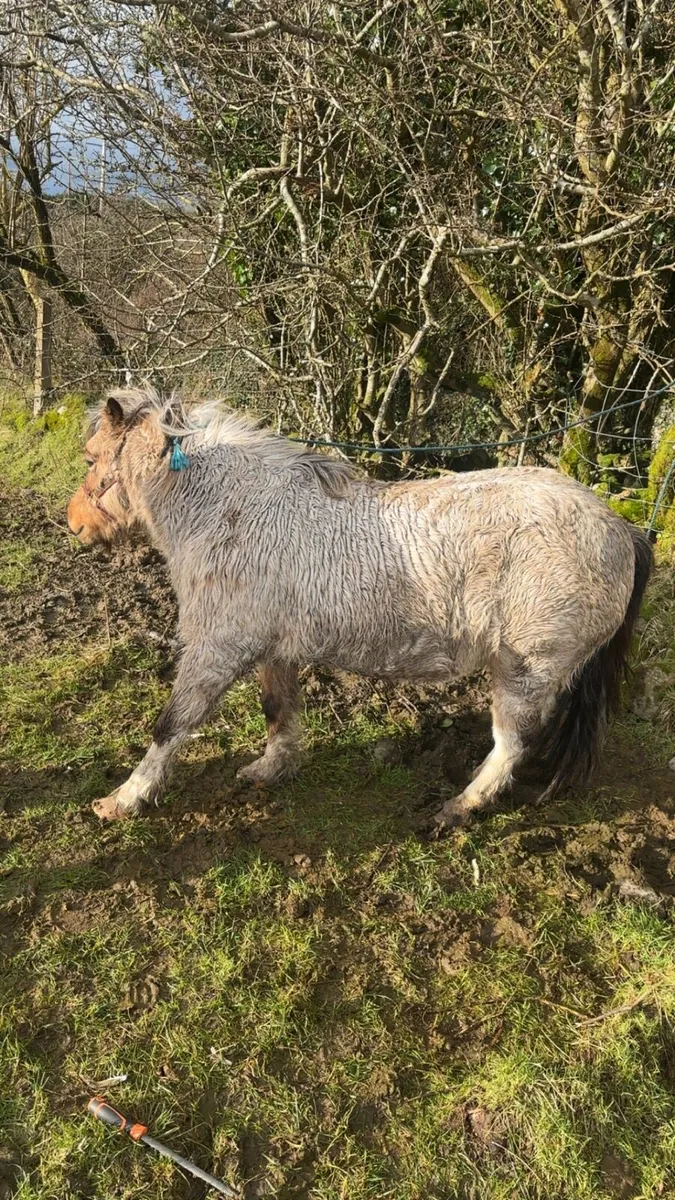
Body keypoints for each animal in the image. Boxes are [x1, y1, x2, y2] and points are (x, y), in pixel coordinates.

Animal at [67, 387, 652, 829]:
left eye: (92, 459)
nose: (73, 523)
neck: (231, 511)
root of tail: (621, 530)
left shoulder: (217, 649)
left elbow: (172, 725)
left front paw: (124, 798)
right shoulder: (271, 650)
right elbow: (279, 711)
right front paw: (270, 769)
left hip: (525, 670)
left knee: (510, 745)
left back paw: (459, 807)